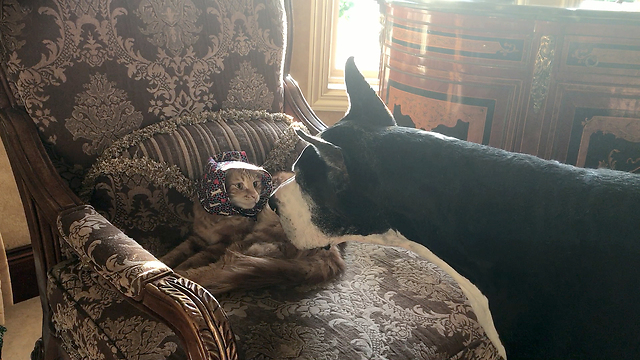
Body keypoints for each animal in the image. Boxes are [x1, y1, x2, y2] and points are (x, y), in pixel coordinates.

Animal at [162, 150, 348, 294]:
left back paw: (184, 276)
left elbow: (196, 257)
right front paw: (161, 262)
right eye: (239, 185)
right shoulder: (198, 237)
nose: (254, 195)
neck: (218, 216)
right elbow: (178, 251)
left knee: (221, 267)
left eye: (255, 183)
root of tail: (333, 253)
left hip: (255, 238)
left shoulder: (223, 243)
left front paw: (177, 269)